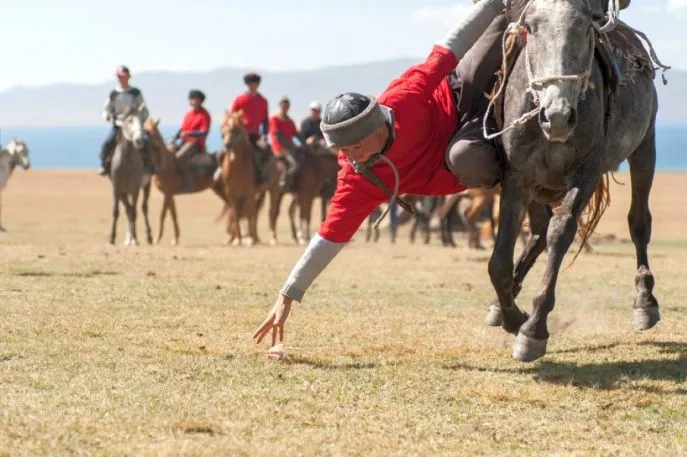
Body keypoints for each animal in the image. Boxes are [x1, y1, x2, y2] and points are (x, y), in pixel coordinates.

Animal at [108, 110, 151, 246]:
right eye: (129, 121)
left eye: (142, 120)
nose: (139, 140)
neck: (126, 162)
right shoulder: (117, 188)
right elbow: (116, 211)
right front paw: (111, 238)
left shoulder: (135, 189)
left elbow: (134, 211)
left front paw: (135, 239)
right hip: (123, 192)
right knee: (127, 209)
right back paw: (128, 239)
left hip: (146, 186)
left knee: (143, 208)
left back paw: (147, 237)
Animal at [483, 0, 665, 361]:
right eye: (531, 27)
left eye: (584, 28)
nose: (557, 116)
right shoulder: (517, 177)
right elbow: (499, 261)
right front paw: (512, 315)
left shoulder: (587, 172)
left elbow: (561, 231)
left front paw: (533, 328)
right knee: (537, 232)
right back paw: (501, 303)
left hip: (644, 147)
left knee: (638, 222)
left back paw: (645, 302)